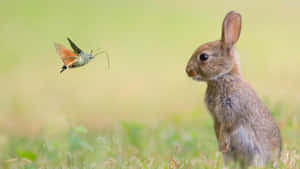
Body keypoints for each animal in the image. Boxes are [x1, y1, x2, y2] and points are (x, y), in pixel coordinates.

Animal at [185, 10, 282, 168]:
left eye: (204, 57)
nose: (187, 71)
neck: (224, 76)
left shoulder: (232, 110)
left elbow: (227, 126)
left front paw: (222, 143)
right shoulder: (216, 116)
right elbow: (217, 126)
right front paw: (219, 143)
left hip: (256, 155)